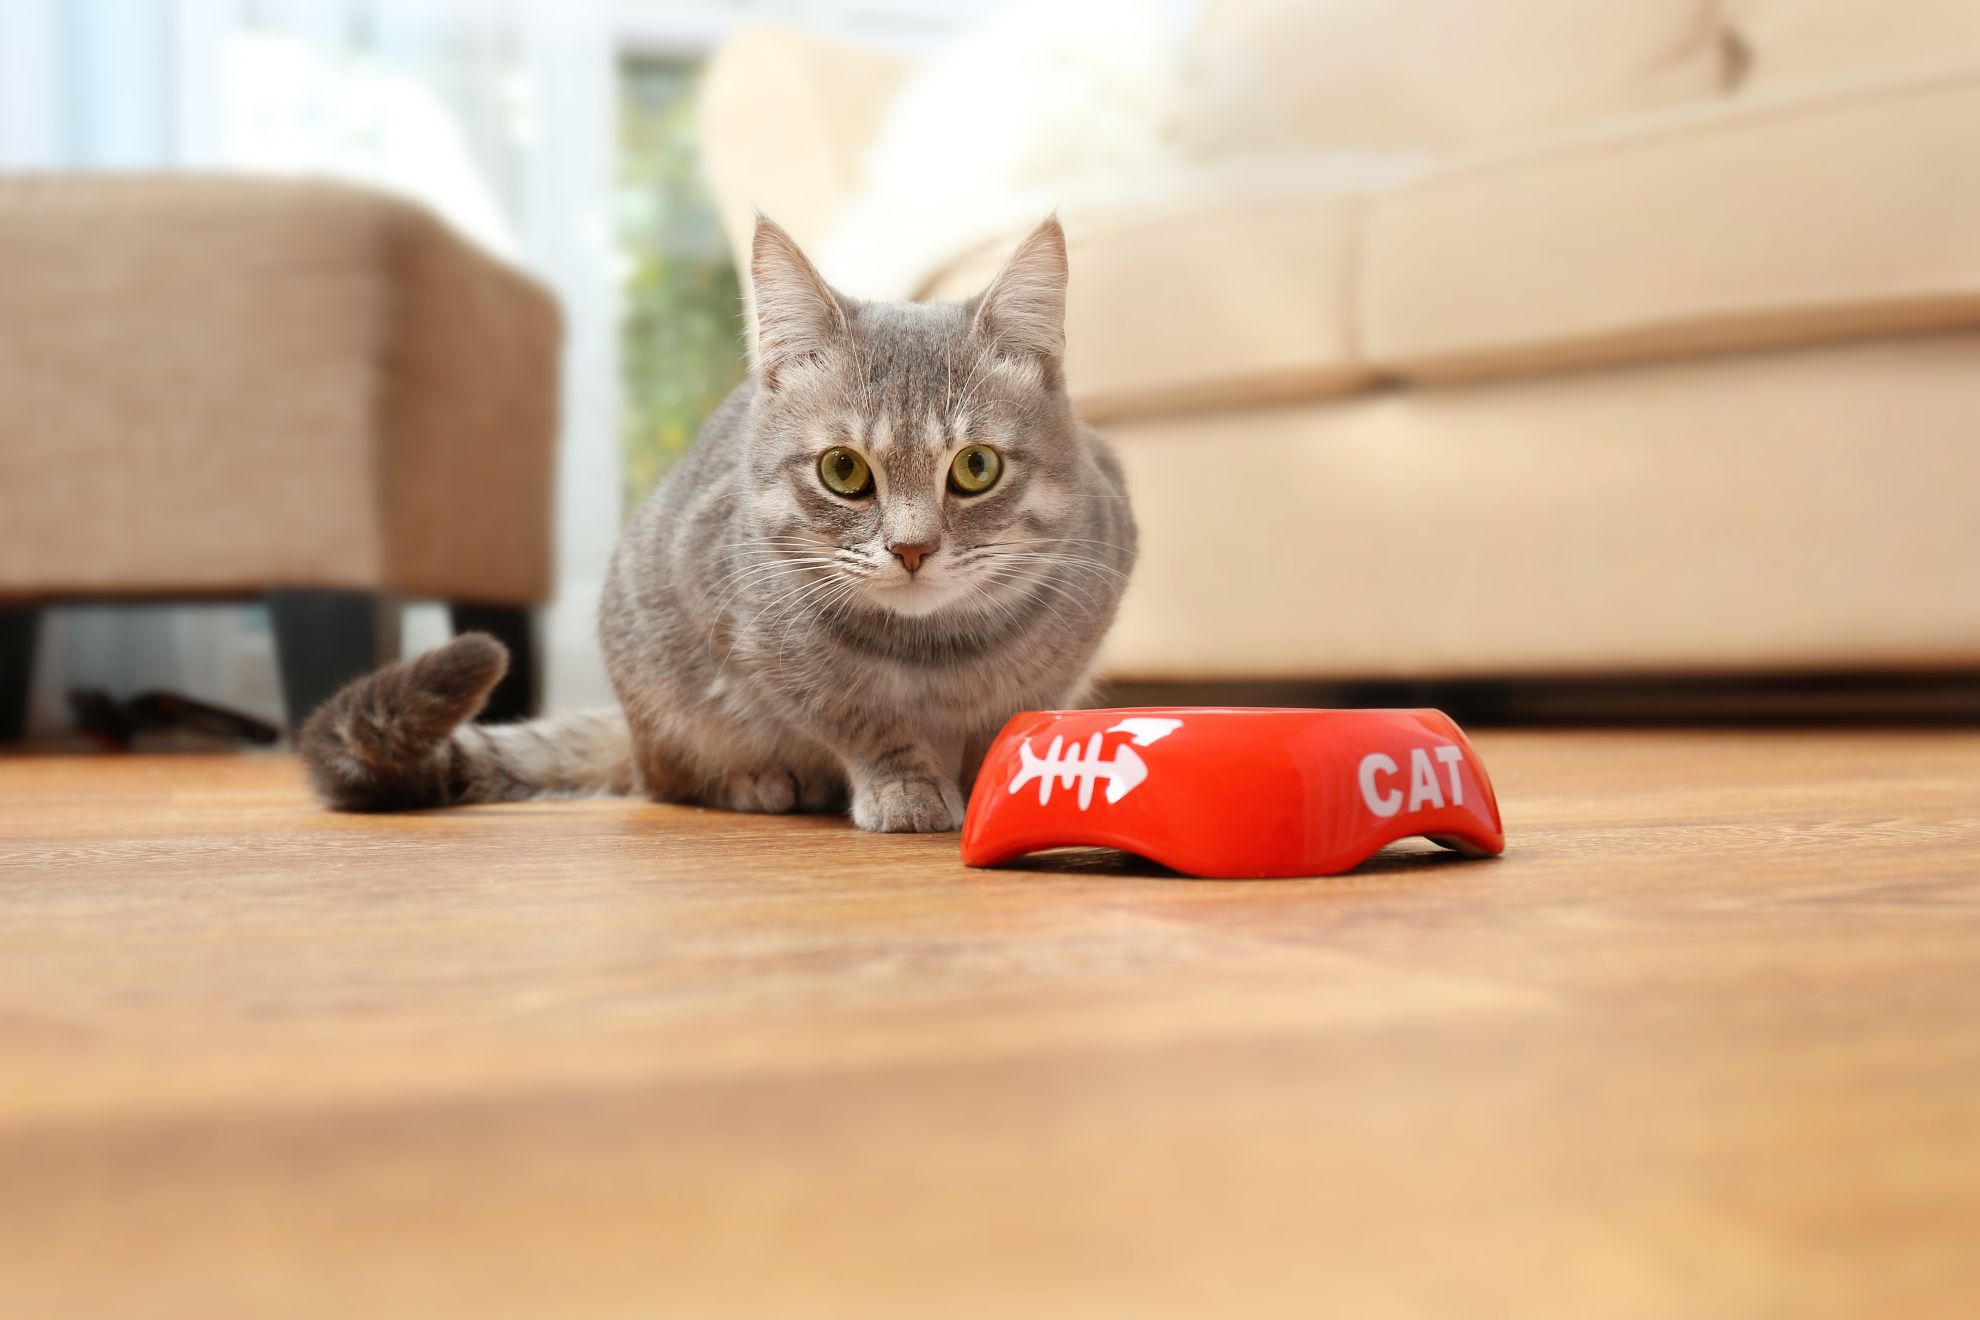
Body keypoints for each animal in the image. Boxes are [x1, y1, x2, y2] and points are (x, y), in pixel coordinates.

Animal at [298, 216, 1140, 835]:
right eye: (844, 471)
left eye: (975, 468)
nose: (911, 548)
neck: (933, 655)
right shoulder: (757, 641)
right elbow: (860, 717)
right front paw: (908, 784)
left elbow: (1010, 719)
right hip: (664, 695)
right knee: (668, 779)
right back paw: (758, 779)